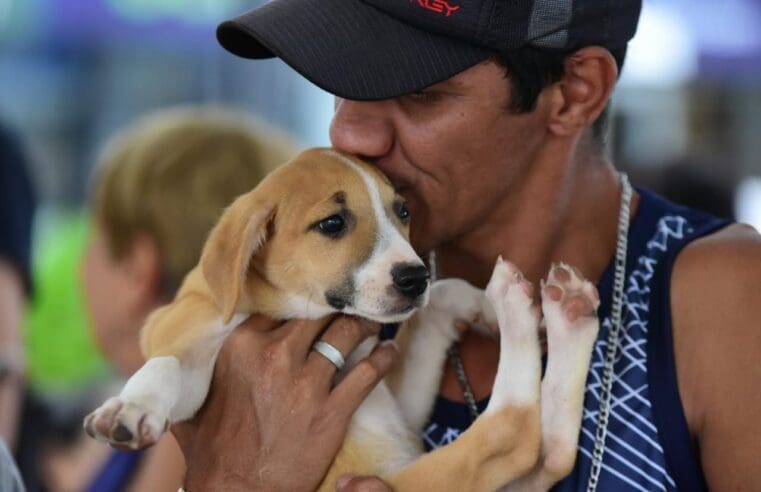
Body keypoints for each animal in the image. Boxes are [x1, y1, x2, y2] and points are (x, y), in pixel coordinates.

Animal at [83, 148, 604, 490]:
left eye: (403, 211)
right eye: (332, 224)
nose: (415, 276)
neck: (303, 310)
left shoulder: (396, 404)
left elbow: (438, 304)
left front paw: (475, 305)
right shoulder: (184, 336)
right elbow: (166, 365)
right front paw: (130, 409)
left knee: (546, 448)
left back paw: (559, 309)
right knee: (519, 434)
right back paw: (522, 302)